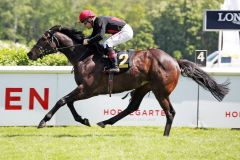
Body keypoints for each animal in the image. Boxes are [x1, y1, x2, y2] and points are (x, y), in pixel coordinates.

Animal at [27, 25, 230, 136]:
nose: (29, 54)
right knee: (132, 107)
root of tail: (174, 60)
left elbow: (62, 100)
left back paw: (165, 136)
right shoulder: (84, 89)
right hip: (143, 87)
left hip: (161, 91)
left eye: (42, 39)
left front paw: (43, 121)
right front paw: (83, 120)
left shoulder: (88, 89)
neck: (84, 55)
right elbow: (68, 102)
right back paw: (105, 122)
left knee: (170, 112)